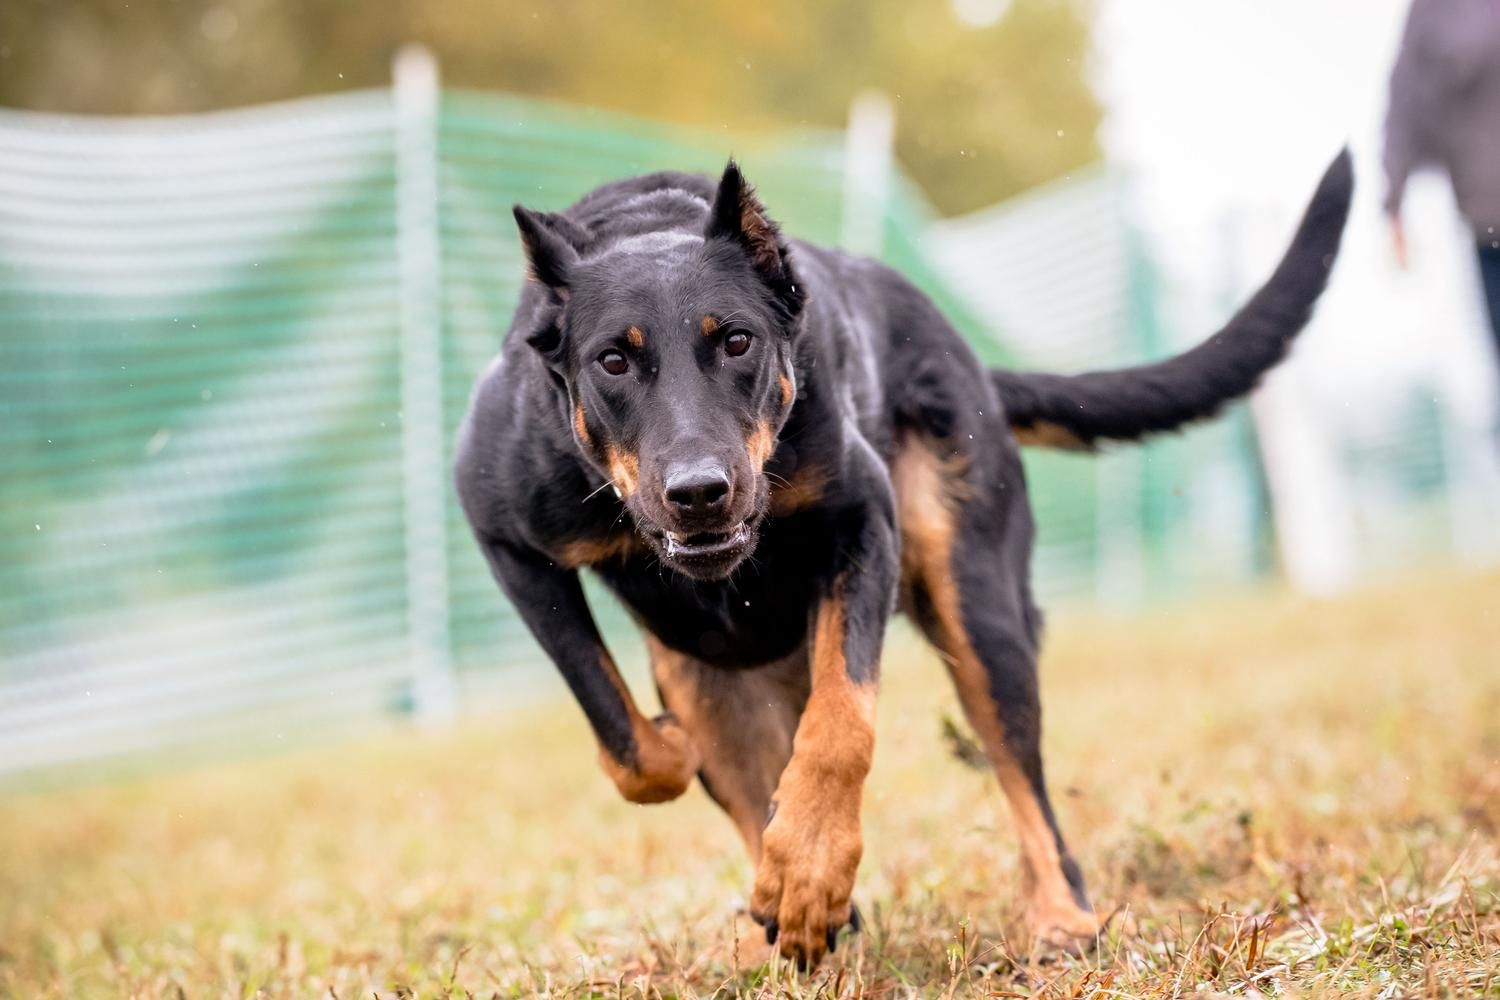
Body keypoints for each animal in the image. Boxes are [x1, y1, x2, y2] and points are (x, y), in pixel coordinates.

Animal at [450, 150, 1356, 971]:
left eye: (737, 341)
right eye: (612, 359)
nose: (700, 492)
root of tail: (976, 366)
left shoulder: (863, 523)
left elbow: (840, 724)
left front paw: (809, 870)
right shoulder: (507, 537)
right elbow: (627, 736)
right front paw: (771, 855)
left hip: (978, 609)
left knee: (1022, 781)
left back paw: (1056, 920)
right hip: (714, 664)